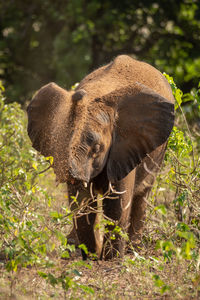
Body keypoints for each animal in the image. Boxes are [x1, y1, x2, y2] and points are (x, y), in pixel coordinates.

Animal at [27, 55, 175, 258]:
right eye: (58, 143)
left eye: (97, 148)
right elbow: (82, 201)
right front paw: (90, 256)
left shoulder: (123, 148)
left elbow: (117, 203)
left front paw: (110, 259)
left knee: (142, 194)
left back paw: (133, 251)